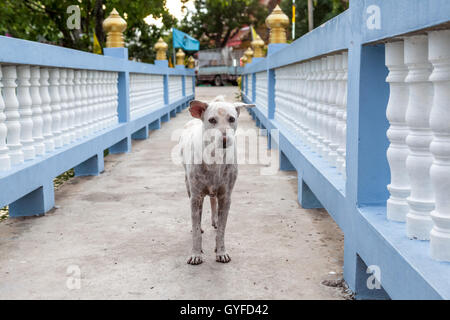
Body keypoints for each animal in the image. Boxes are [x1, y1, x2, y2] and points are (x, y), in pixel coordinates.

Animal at [180, 95, 256, 264]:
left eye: (232, 119)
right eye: (212, 120)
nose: (225, 140)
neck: (215, 158)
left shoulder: (226, 197)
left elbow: (222, 229)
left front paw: (221, 252)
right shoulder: (196, 197)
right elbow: (196, 230)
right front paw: (196, 254)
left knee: (213, 201)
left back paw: (214, 220)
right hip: (188, 184)